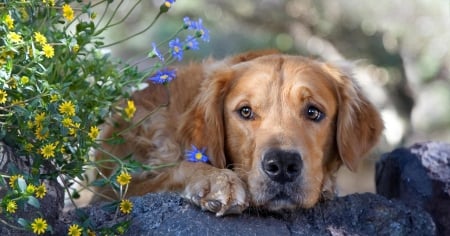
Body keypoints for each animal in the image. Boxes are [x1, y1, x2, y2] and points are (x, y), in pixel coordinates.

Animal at [96, 49, 384, 216]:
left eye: (313, 112)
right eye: (245, 111)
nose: (282, 165)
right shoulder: (115, 190)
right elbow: (176, 169)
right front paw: (216, 180)